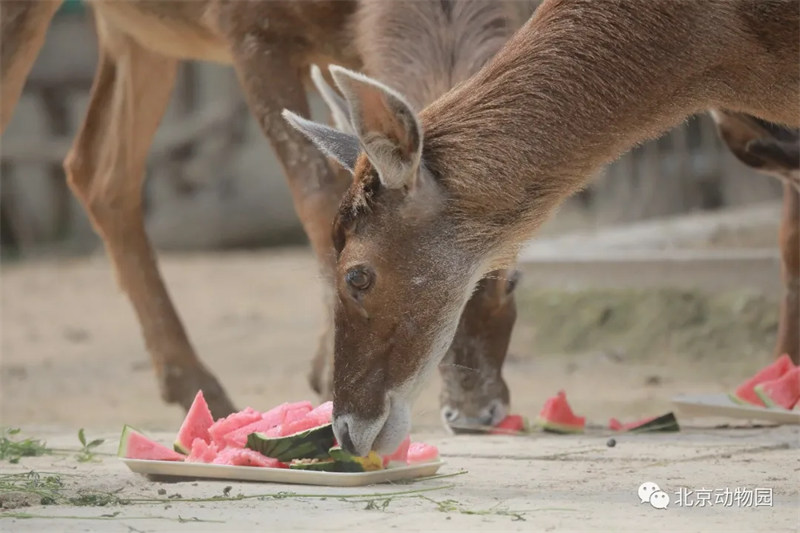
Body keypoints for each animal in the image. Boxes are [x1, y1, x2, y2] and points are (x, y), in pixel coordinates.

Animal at [3, 0, 528, 426]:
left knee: (97, 169)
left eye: (513, 280)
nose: (475, 411)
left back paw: (198, 388)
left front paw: (324, 369)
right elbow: (317, 193)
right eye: (364, 278)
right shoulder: (248, 29)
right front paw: (329, 377)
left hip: (139, 32)